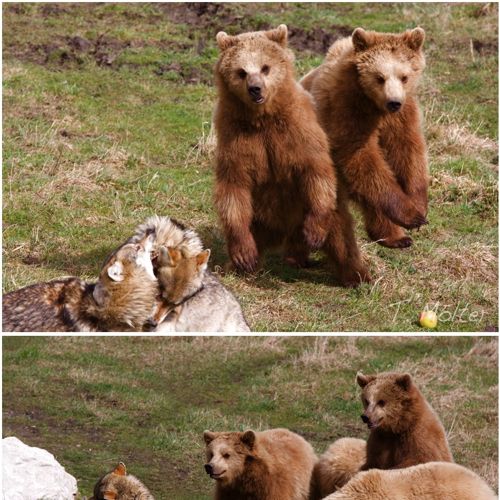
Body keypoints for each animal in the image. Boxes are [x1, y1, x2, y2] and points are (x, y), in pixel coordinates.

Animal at [213, 25, 370, 288]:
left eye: (265, 67)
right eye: (241, 72)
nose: (255, 88)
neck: (262, 118)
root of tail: (285, 236)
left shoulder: (298, 132)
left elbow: (316, 169)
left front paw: (315, 233)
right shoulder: (235, 138)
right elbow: (234, 185)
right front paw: (243, 254)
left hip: (319, 214)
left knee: (341, 237)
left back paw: (356, 275)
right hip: (259, 219)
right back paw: (235, 266)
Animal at [300, 26, 430, 249]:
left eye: (404, 77)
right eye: (380, 77)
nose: (394, 102)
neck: (375, 106)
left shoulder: (402, 117)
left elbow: (408, 151)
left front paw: (419, 206)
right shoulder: (348, 110)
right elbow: (361, 157)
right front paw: (411, 214)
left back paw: (395, 237)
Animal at [310, 372, 452, 496]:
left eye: (381, 401)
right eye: (366, 400)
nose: (365, 417)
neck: (396, 428)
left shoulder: (418, 437)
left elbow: (418, 461)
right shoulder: (379, 441)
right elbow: (371, 463)